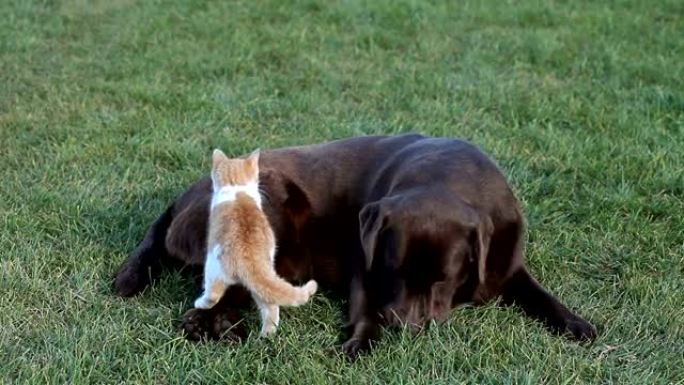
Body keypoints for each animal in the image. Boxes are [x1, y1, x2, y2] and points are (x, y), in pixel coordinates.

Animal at [194, 148, 320, 334]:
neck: (236, 188)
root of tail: (249, 259)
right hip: (260, 285)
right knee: (271, 307)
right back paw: (267, 334)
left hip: (213, 269)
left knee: (213, 296)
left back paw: (200, 303)